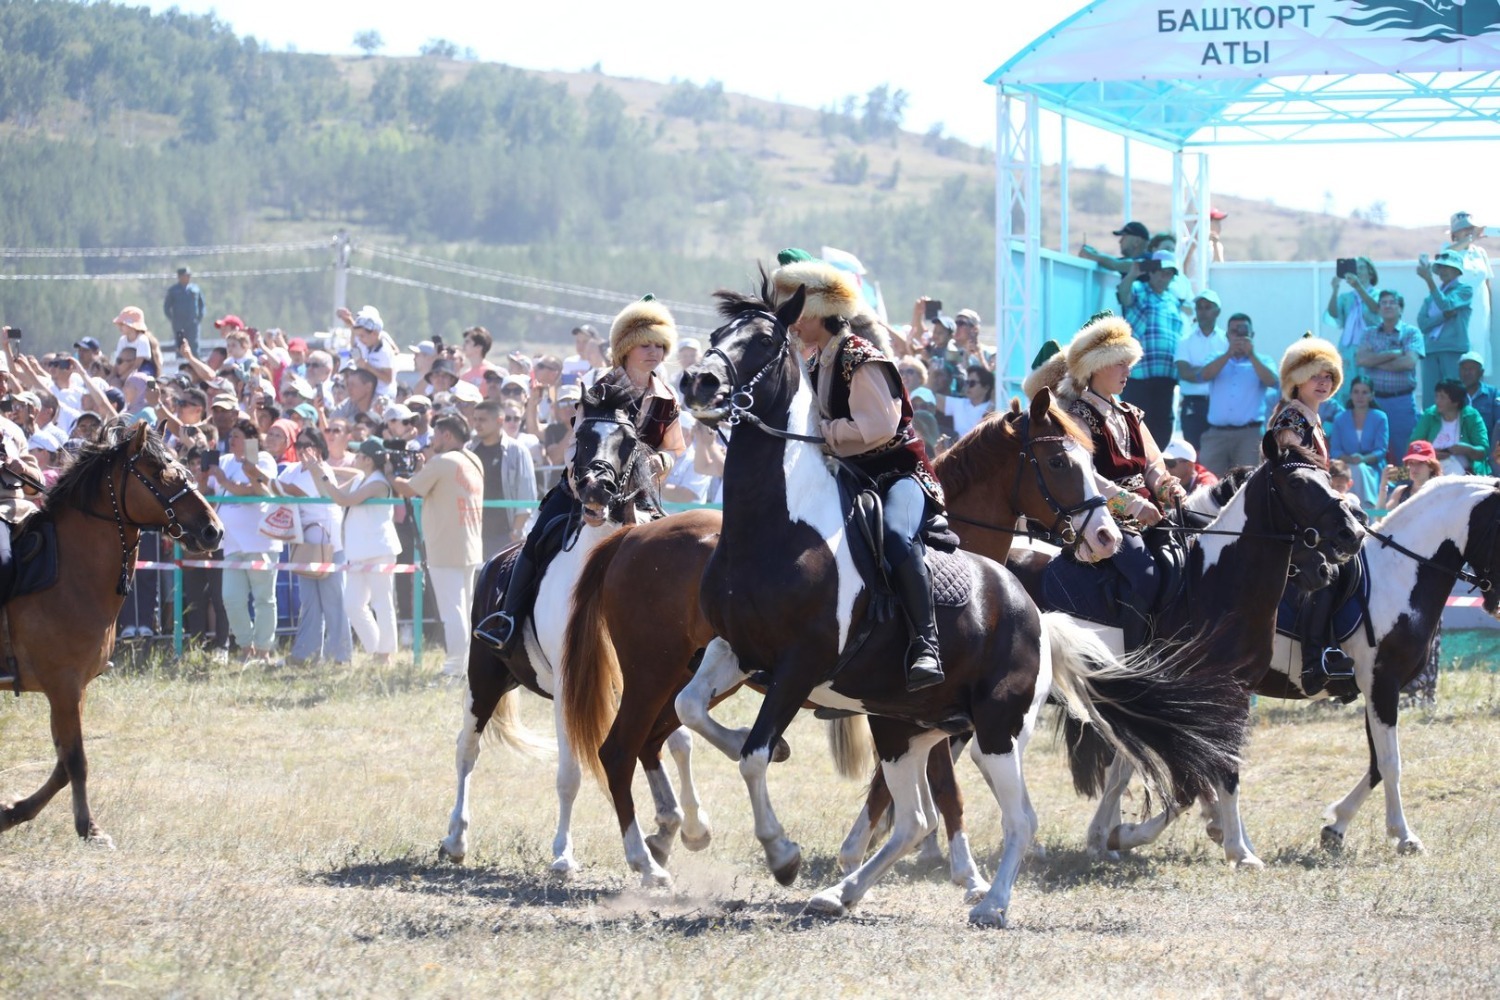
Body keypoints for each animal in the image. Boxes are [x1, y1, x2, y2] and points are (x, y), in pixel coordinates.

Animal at [1, 420, 224, 846]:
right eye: (159, 473)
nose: (212, 531)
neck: (69, 574)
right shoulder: (64, 686)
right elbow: (76, 761)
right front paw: (89, 827)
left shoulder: (73, 690)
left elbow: (63, 764)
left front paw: (11, 811)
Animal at [438, 375, 665, 873]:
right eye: (581, 436)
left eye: (628, 442)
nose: (597, 488)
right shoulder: (570, 687)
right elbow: (570, 774)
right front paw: (563, 854)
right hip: (482, 677)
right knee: (467, 749)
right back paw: (455, 838)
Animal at [559, 385, 1124, 888]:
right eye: (1058, 462)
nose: (1107, 537)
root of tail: (630, 537)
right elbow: (938, 787)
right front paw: (955, 870)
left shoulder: (912, 705)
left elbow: (917, 784)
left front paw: (903, 855)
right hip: (652, 673)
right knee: (621, 750)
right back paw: (649, 858)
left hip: (681, 677)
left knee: (658, 737)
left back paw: (675, 833)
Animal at [670, 280, 1249, 926]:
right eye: (719, 335)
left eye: (766, 342)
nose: (696, 382)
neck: (779, 528)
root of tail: (1036, 616)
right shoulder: (737, 650)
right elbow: (692, 710)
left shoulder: (799, 665)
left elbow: (753, 754)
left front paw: (782, 852)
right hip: (905, 729)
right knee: (913, 820)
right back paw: (841, 893)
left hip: (995, 730)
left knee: (1017, 818)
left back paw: (991, 902)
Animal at [1088, 474, 1500, 860]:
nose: (1494, 603)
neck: (1401, 574)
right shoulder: (1383, 684)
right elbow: (1389, 762)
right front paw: (1403, 835)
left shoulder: (1377, 690)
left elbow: (1376, 765)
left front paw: (1336, 827)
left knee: (1133, 760)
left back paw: (1114, 835)